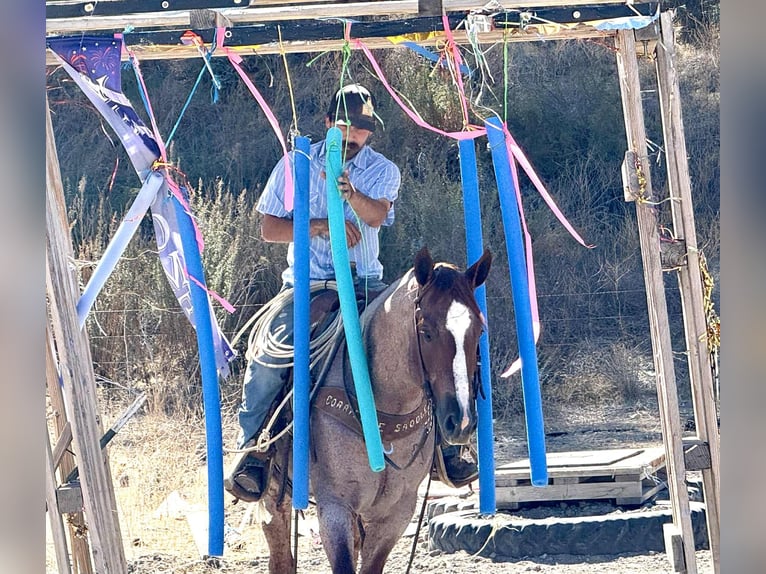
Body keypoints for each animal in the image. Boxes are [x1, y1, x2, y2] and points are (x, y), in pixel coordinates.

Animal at [258, 246, 492, 574]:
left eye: (479, 330)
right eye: (426, 331)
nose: (461, 422)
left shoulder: (396, 512)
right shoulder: (335, 506)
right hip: (273, 493)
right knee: (278, 548)